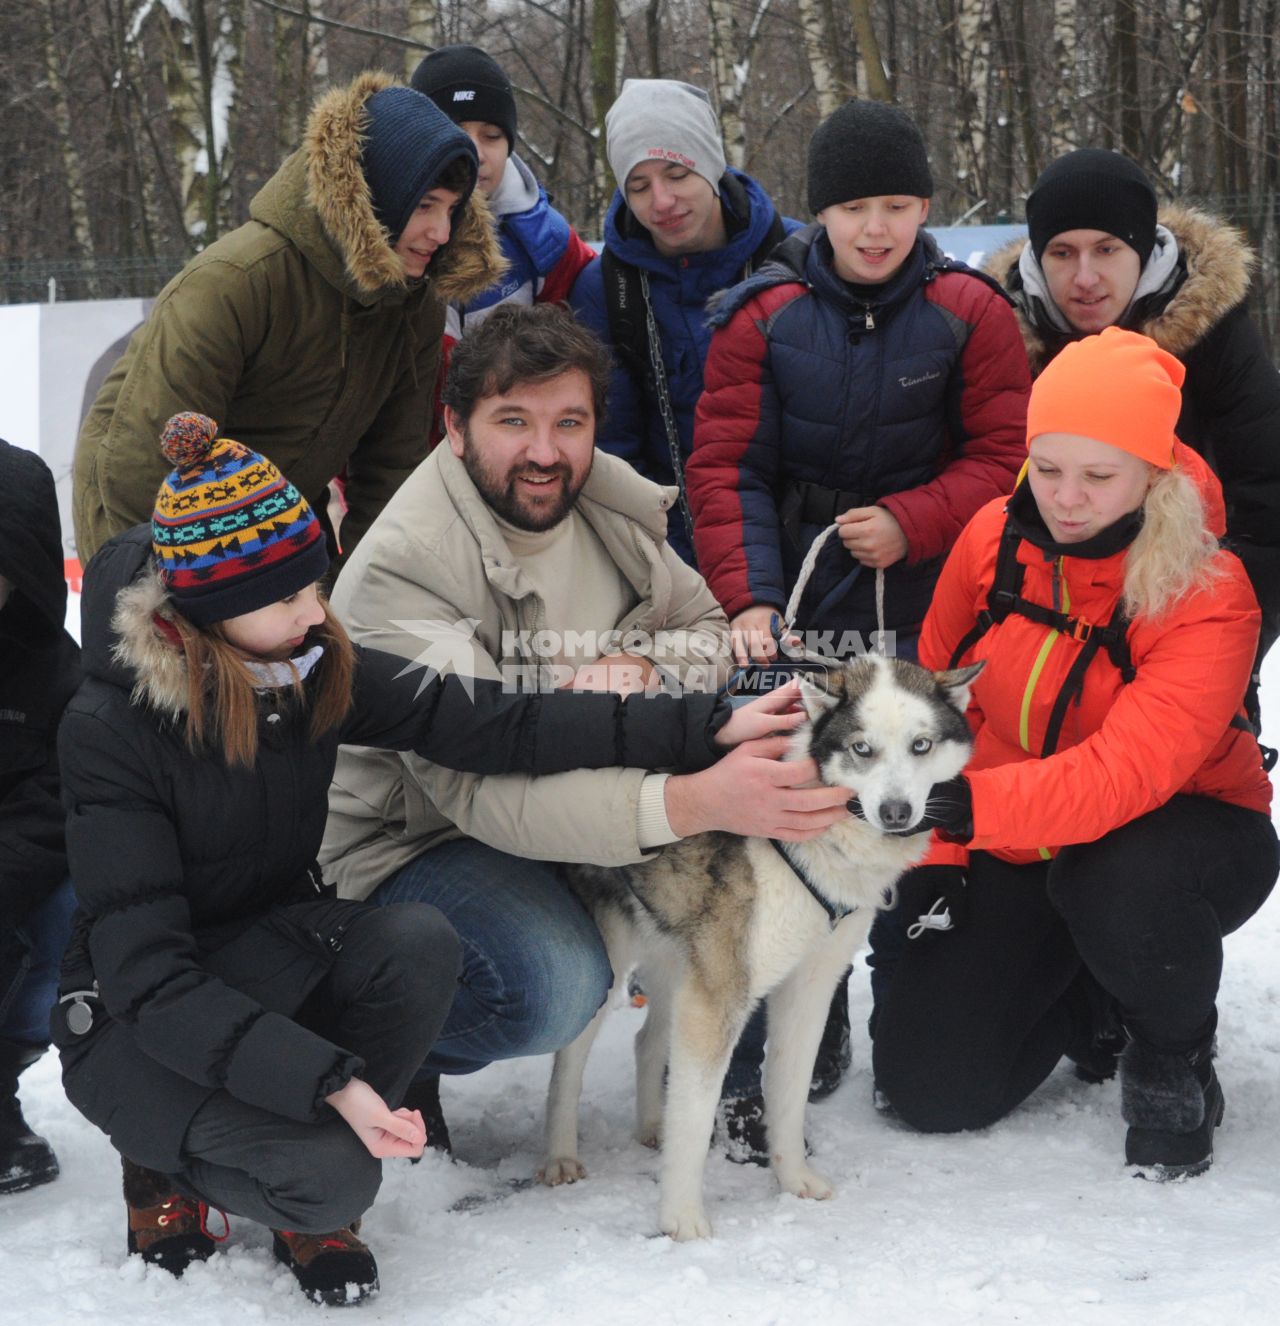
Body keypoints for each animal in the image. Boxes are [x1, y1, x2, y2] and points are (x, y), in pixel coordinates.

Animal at [538, 655, 981, 1241]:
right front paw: (682, 1219)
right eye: (862, 748)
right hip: (614, 960)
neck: (820, 839)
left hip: (679, 956)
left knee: (648, 1041)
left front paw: (793, 1180)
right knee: (569, 1059)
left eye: (921, 745)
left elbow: (788, 1095)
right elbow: (697, 1109)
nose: (895, 812)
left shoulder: (809, 986)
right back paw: (561, 1154)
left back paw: (653, 1125)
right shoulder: (720, 994)